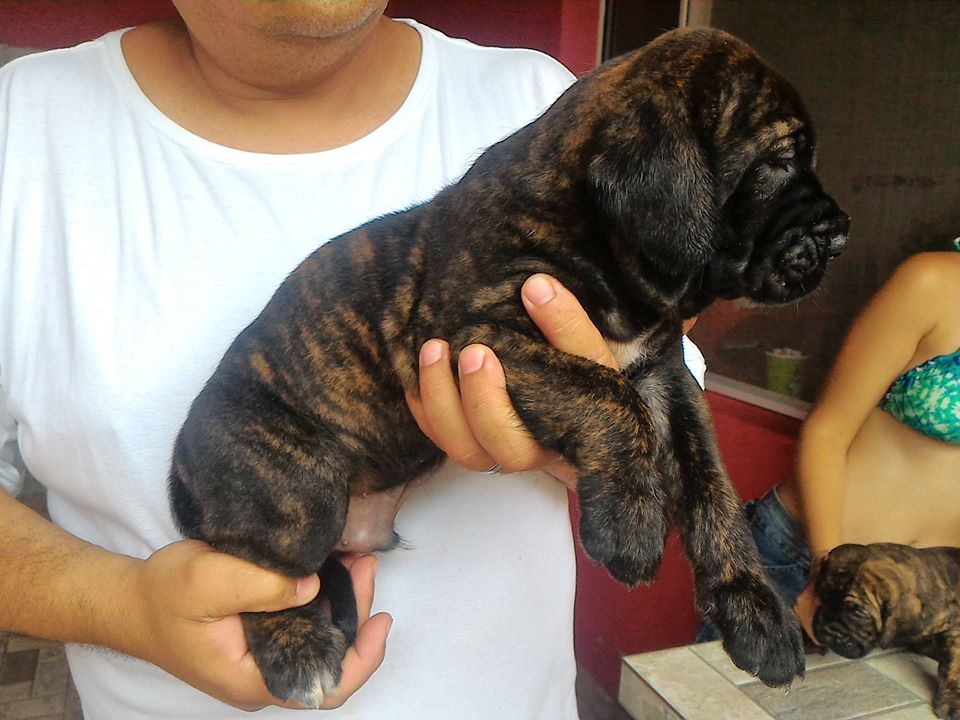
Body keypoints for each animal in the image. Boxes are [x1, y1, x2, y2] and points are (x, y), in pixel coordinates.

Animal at [171, 26, 848, 704]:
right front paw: (630, 527)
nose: (842, 233)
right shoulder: (473, 335)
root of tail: (180, 464)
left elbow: (712, 488)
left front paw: (756, 610)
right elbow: (608, 396)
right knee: (267, 572)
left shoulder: (665, 378)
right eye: (778, 162)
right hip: (297, 496)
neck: (601, 240)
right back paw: (299, 651)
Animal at [812, 544, 960, 716]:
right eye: (823, 595)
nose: (826, 629)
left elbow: (953, 663)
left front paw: (951, 700)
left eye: (856, 611)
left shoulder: (954, 625)